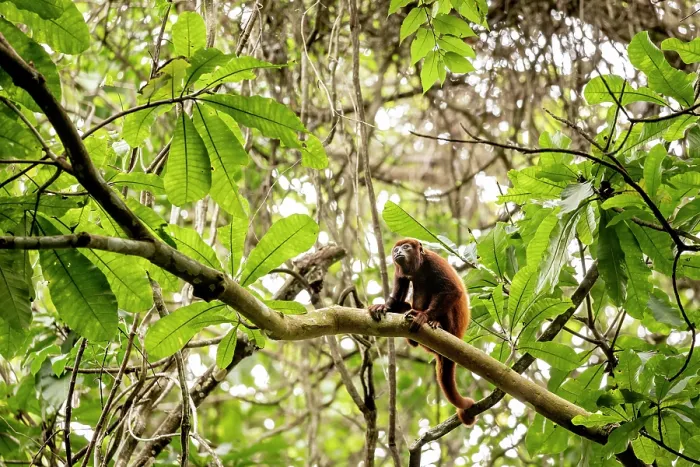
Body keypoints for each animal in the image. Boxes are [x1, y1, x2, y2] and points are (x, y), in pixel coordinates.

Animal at [368, 238, 476, 426]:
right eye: (396, 249)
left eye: (406, 247)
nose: (397, 252)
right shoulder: (399, 270)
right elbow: (397, 294)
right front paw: (384, 306)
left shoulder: (434, 261)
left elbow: (453, 290)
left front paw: (424, 316)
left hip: (453, 327)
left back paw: (435, 322)